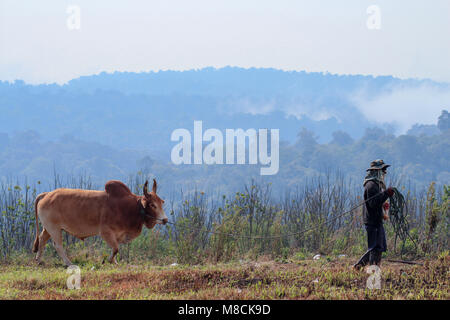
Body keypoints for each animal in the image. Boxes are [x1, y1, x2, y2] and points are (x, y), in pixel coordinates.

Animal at [32, 180, 167, 264]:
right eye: (152, 204)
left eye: (162, 202)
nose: (165, 220)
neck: (130, 207)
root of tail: (47, 194)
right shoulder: (106, 232)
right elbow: (116, 249)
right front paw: (107, 260)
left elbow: (115, 249)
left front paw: (114, 262)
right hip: (54, 228)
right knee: (58, 245)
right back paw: (68, 263)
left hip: (48, 228)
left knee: (42, 239)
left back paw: (39, 260)